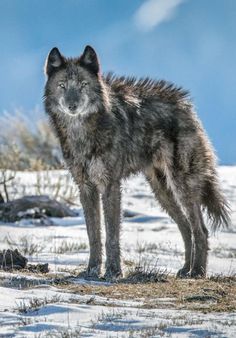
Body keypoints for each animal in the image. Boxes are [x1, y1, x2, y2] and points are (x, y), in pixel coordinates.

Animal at [43, 44, 230, 278]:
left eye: (83, 85)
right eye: (62, 86)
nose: (72, 105)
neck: (83, 133)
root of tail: (186, 105)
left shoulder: (110, 185)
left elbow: (112, 235)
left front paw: (113, 271)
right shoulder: (86, 187)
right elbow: (93, 235)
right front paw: (92, 270)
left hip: (181, 186)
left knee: (201, 230)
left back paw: (197, 272)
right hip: (161, 192)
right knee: (186, 228)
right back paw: (185, 269)